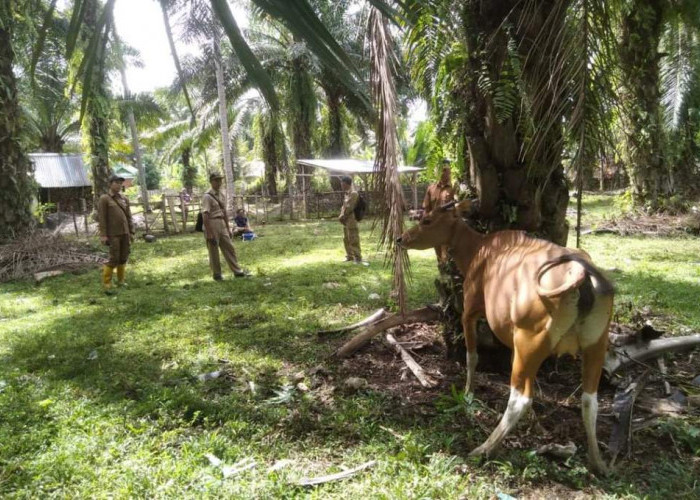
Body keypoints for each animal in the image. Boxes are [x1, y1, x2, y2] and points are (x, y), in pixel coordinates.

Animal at [396, 199, 616, 472]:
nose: (401, 238)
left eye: (427, 219)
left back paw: (484, 448)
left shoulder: (470, 310)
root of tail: (582, 277)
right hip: (594, 342)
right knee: (589, 400)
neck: (477, 249)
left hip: (531, 338)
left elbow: (472, 356)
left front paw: (468, 393)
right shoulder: (513, 337)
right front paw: (536, 423)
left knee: (520, 398)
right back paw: (599, 462)